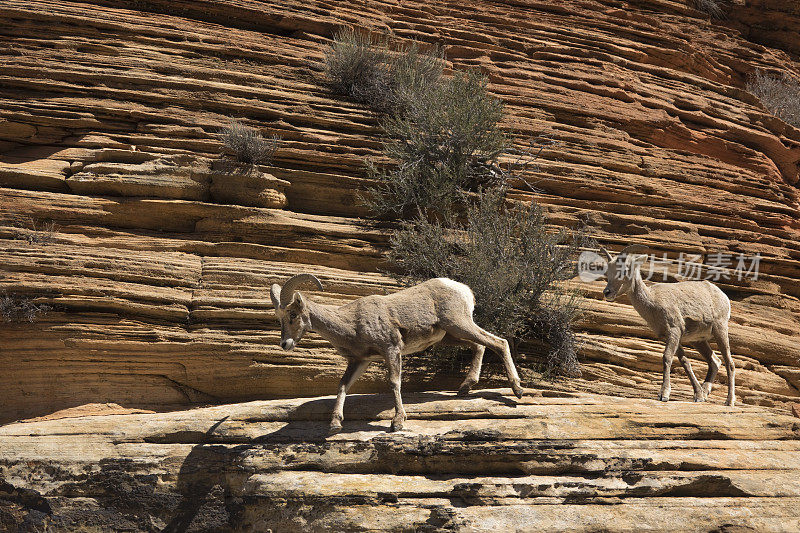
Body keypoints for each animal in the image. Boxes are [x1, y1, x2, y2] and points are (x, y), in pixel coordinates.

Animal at [272, 274, 528, 432]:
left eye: (293, 315)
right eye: (279, 318)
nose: (285, 344)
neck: (351, 323)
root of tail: (462, 289)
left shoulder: (391, 349)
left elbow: (394, 383)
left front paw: (397, 423)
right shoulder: (360, 361)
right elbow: (343, 385)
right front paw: (335, 423)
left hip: (459, 324)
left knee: (499, 342)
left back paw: (517, 390)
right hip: (449, 336)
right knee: (481, 346)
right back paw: (465, 388)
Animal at [600, 246, 736, 408]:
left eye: (624, 270)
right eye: (608, 272)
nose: (607, 292)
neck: (652, 302)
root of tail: (723, 296)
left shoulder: (674, 330)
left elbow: (666, 358)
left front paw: (664, 394)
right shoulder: (670, 336)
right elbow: (685, 362)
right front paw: (698, 395)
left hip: (720, 330)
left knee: (729, 363)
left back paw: (729, 401)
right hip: (698, 341)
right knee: (715, 361)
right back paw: (705, 392)